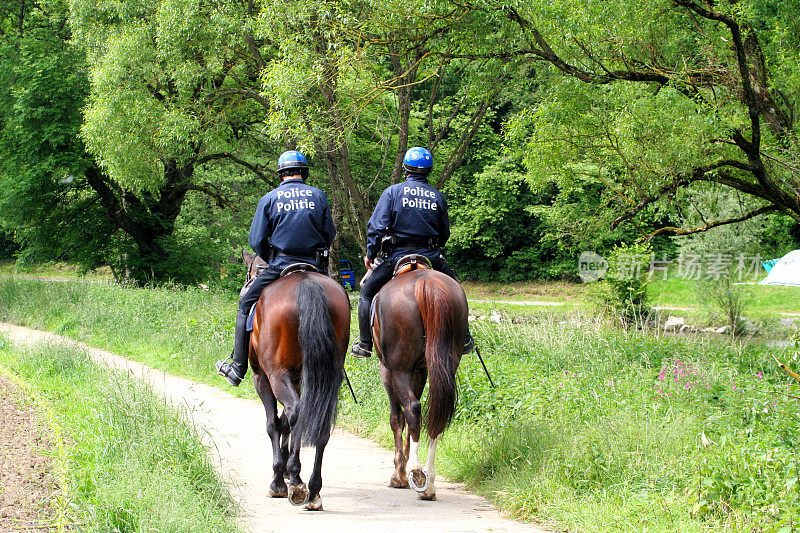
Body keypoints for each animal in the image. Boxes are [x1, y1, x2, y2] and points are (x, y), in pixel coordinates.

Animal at [244, 251, 350, 510]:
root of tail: (306, 282)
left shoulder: (262, 378)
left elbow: (274, 423)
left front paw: (279, 478)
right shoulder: (300, 380)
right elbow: (285, 423)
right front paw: (286, 472)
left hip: (276, 374)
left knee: (295, 412)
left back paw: (294, 482)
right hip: (324, 378)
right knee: (319, 423)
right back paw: (313, 490)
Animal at [374, 258, 468, 498]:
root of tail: (426, 282)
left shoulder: (387, 371)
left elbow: (397, 418)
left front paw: (399, 473)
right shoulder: (421, 371)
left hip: (398, 369)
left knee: (413, 408)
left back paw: (416, 472)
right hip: (445, 364)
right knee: (437, 413)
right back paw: (429, 481)